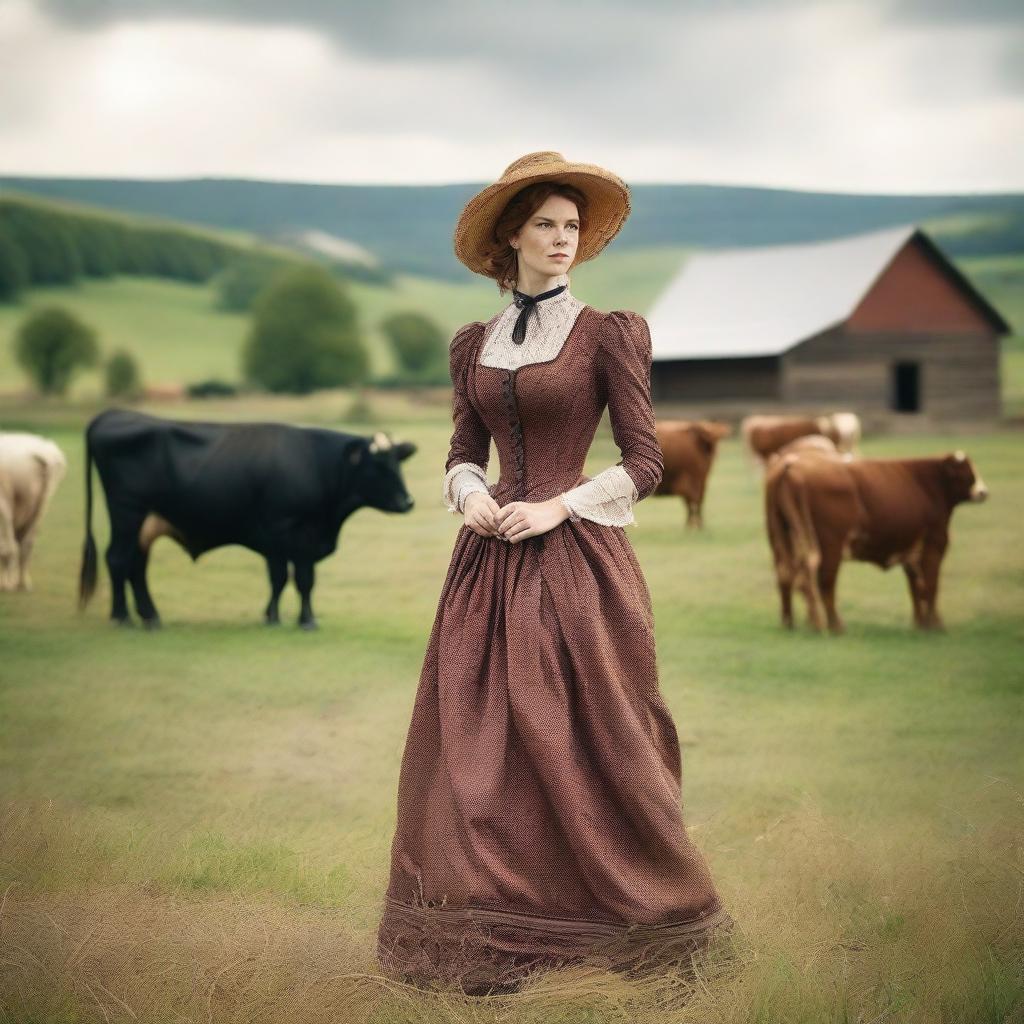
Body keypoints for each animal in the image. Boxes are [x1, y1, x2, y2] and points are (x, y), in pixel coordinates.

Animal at [0, 432, 67, 593]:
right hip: (42, 504)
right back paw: (22, 584)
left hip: (5, 498)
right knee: (26, 545)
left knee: (8, 547)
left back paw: (5, 585)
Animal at [77, 407, 417, 622]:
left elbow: (288, 580)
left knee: (136, 566)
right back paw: (122, 616)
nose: (408, 502)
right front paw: (299, 620)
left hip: (145, 523)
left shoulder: (288, 541)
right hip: (127, 513)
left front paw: (275, 615)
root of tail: (112, 414)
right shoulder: (286, 529)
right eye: (378, 465)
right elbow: (295, 578)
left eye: (397, 462)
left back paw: (150, 616)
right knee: (118, 559)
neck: (316, 463)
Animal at [765, 450, 987, 630]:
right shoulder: (934, 544)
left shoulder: (910, 550)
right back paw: (834, 626)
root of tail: (792, 462)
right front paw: (936, 625)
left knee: (785, 574)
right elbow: (931, 585)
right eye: (967, 472)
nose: (983, 492)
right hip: (830, 546)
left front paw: (920, 624)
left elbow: (916, 588)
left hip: (780, 539)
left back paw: (789, 622)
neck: (931, 484)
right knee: (824, 581)